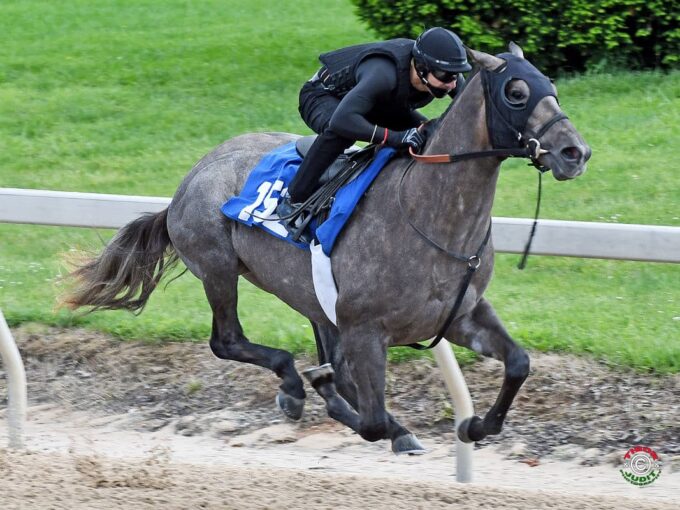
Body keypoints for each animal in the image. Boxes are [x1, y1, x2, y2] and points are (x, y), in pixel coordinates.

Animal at [63, 44, 588, 454]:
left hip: (310, 296)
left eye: (551, 87)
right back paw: (294, 385)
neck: (427, 216)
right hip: (218, 267)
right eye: (516, 93)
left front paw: (477, 425)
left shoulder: (460, 315)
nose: (575, 153)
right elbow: (371, 419)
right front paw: (387, 423)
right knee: (227, 341)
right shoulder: (365, 328)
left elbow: (519, 363)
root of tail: (187, 181)